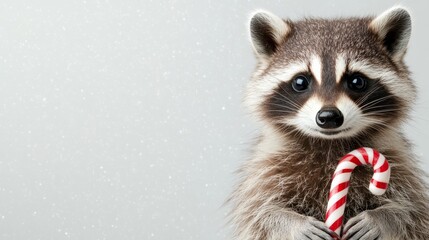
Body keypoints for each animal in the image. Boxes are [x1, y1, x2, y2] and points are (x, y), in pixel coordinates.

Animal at [229, 5, 428, 240]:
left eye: (356, 81)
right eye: (300, 82)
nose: (329, 116)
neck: (330, 144)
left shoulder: (400, 163)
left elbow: (413, 213)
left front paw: (382, 218)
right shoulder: (266, 167)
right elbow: (259, 214)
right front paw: (294, 223)